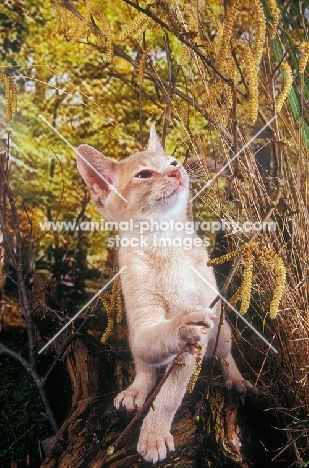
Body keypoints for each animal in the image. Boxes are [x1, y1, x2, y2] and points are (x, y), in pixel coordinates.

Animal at [76, 125, 251, 464]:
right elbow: (153, 345)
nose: (176, 170)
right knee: (144, 366)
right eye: (144, 174)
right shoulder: (142, 320)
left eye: (172, 160)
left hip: (221, 330)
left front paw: (154, 434)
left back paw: (235, 380)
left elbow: (169, 397)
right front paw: (179, 326)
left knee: (225, 356)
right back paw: (135, 391)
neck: (163, 243)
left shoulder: (195, 346)